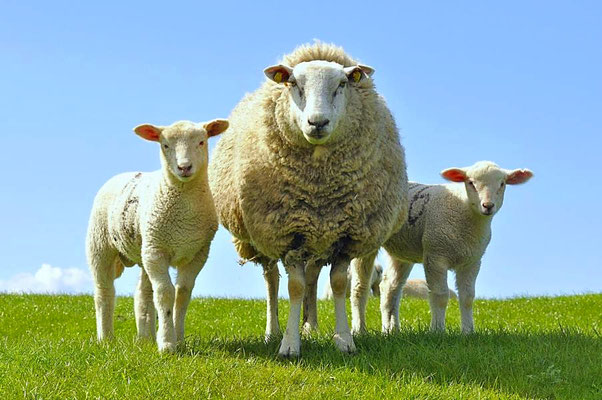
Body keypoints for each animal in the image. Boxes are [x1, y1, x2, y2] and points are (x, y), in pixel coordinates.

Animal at [84, 119, 225, 354]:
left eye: (202, 142)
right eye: (165, 145)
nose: (184, 167)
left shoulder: (198, 253)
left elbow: (182, 293)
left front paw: (178, 338)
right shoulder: (157, 252)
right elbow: (165, 293)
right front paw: (167, 343)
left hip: (145, 250)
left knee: (143, 294)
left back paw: (145, 338)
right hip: (101, 245)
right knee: (104, 292)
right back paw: (106, 339)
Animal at [207, 42, 408, 356]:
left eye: (342, 84)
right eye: (293, 84)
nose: (317, 122)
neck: (319, 187)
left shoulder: (345, 236)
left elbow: (337, 284)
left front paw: (343, 340)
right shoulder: (288, 235)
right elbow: (295, 289)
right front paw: (289, 345)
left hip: (318, 239)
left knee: (313, 276)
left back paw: (310, 325)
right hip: (264, 237)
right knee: (272, 282)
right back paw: (274, 331)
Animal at [378, 161, 532, 332]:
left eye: (502, 184)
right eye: (470, 182)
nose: (488, 205)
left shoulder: (472, 261)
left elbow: (467, 297)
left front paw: (468, 331)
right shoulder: (435, 256)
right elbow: (440, 296)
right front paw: (437, 330)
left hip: (402, 250)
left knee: (390, 287)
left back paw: (390, 330)